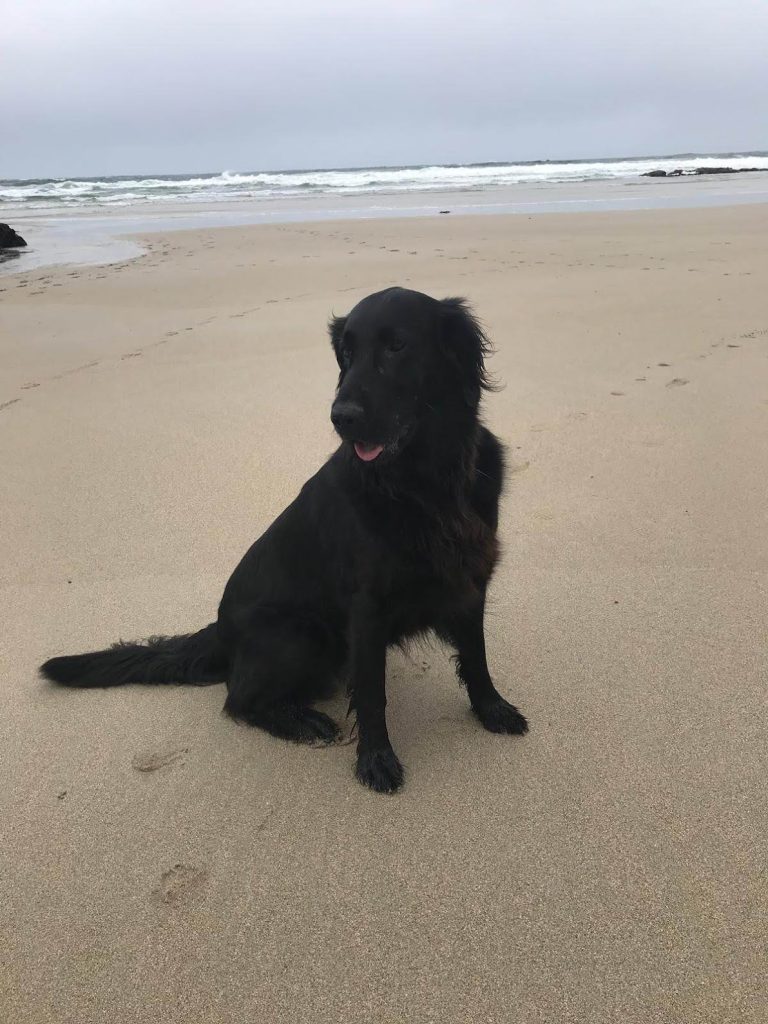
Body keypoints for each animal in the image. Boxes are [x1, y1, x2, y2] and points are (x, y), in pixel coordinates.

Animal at [41, 288, 528, 790]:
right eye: (346, 354)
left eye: (397, 346)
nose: (340, 417)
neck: (425, 481)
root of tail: (221, 631)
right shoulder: (366, 607)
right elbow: (372, 693)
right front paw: (375, 759)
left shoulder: (471, 577)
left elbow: (476, 656)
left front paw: (492, 709)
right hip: (301, 634)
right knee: (238, 698)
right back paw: (301, 720)